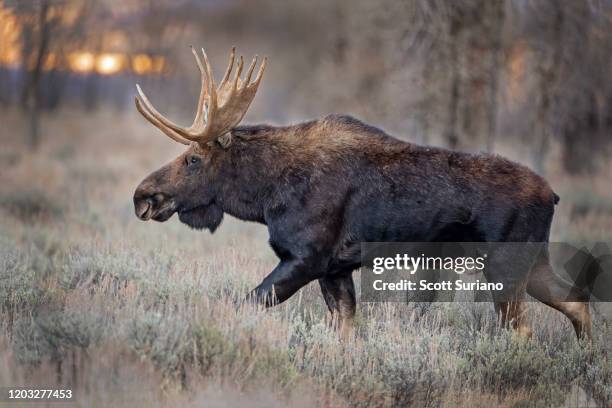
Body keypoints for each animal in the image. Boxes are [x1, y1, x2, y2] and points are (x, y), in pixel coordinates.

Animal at [134, 47, 592, 342]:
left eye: (193, 158)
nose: (143, 196)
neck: (264, 195)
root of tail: (553, 195)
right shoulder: (335, 269)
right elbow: (345, 333)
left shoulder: (307, 258)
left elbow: (247, 303)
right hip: (534, 262)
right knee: (578, 303)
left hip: (505, 266)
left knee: (524, 331)